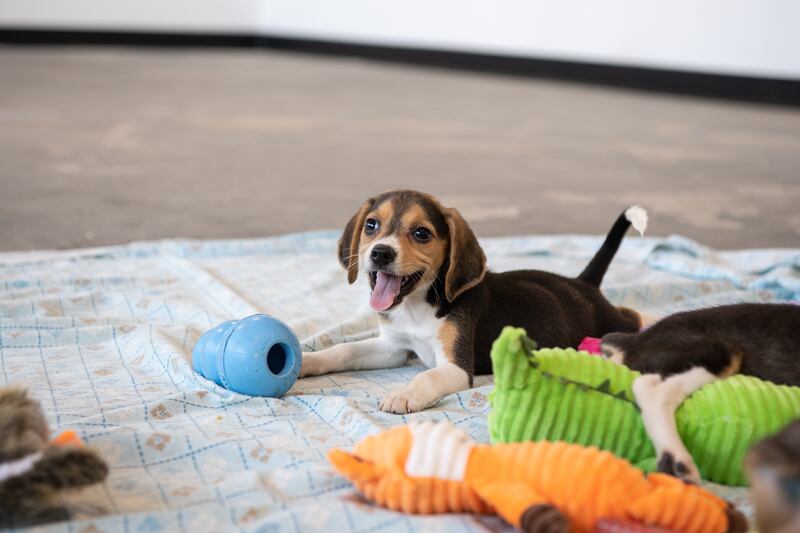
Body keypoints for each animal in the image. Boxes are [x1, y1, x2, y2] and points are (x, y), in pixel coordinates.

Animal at [301, 189, 647, 413]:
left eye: (421, 233)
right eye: (371, 225)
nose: (381, 253)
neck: (417, 307)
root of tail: (583, 283)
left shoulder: (456, 367)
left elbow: (426, 375)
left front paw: (403, 394)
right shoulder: (394, 348)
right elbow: (344, 350)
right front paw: (307, 361)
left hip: (610, 323)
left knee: (632, 315)